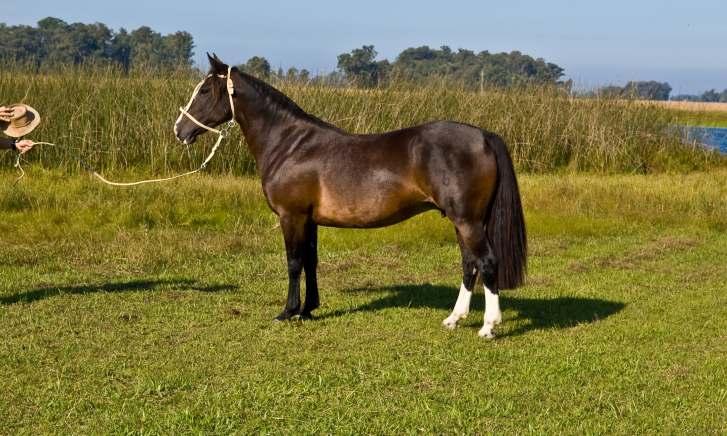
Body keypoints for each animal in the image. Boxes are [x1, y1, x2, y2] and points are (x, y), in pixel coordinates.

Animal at [176, 53, 528, 338]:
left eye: (204, 91)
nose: (179, 130)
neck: (291, 145)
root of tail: (483, 135)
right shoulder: (310, 220)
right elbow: (311, 261)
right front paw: (308, 309)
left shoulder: (292, 217)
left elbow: (293, 263)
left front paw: (288, 312)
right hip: (463, 221)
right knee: (469, 264)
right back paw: (454, 319)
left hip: (468, 221)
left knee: (486, 262)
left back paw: (488, 327)